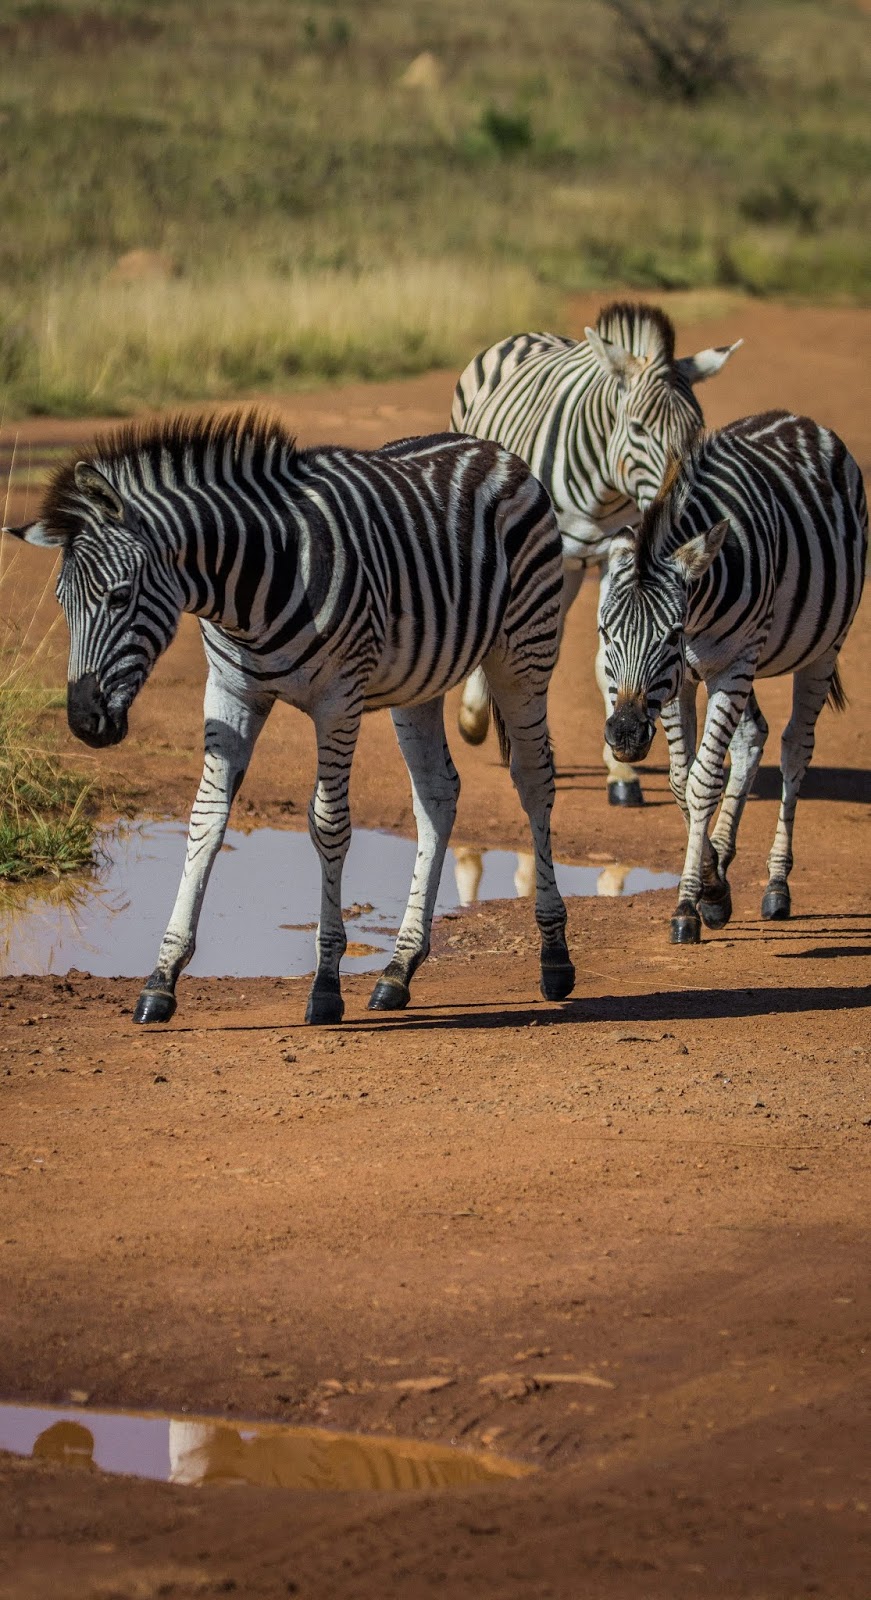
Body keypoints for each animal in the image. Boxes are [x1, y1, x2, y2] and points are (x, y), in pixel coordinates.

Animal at [10, 412, 579, 1024]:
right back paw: (398, 970)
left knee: (534, 778)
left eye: (118, 598)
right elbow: (205, 819)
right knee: (437, 793)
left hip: (524, 651)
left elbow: (328, 825)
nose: (83, 722)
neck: (248, 589)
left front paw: (326, 984)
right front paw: (161, 979)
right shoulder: (230, 694)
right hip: (420, 681)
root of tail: (487, 446)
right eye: (62, 603)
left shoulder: (338, 701)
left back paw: (554, 958)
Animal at [448, 300, 742, 806]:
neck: (602, 487)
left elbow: (607, 656)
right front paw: (478, 719)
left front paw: (620, 772)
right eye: (638, 427)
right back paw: (479, 718)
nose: (675, 504)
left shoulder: (614, 554)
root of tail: (530, 335)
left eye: (695, 431)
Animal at [595, 406, 864, 940]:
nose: (626, 734)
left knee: (795, 747)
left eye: (672, 634)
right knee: (752, 736)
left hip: (820, 647)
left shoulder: (731, 662)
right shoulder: (682, 681)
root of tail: (797, 420)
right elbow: (682, 780)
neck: (700, 609)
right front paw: (713, 886)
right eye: (604, 632)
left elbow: (703, 781)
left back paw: (777, 885)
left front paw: (688, 906)